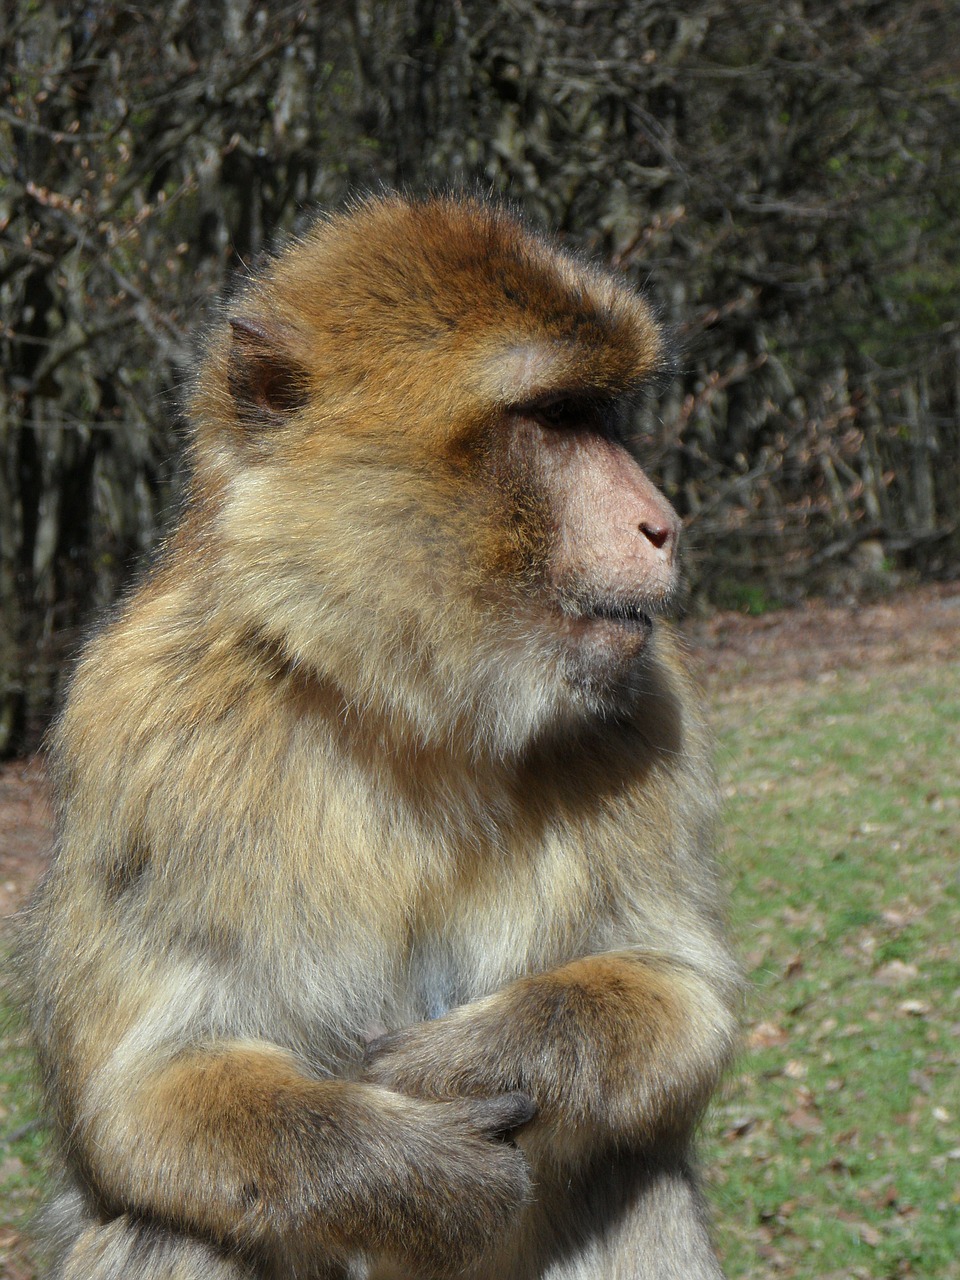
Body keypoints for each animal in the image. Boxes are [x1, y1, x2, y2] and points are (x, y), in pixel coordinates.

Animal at [24, 192, 742, 1280]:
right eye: (553, 420)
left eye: (598, 416)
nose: (661, 522)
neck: (413, 709)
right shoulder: (136, 732)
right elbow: (136, 1098)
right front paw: (420, 1167)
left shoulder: (650, 704)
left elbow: (684, 989)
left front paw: (481, 1056)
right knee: (174, 1228)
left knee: (633, 1173)